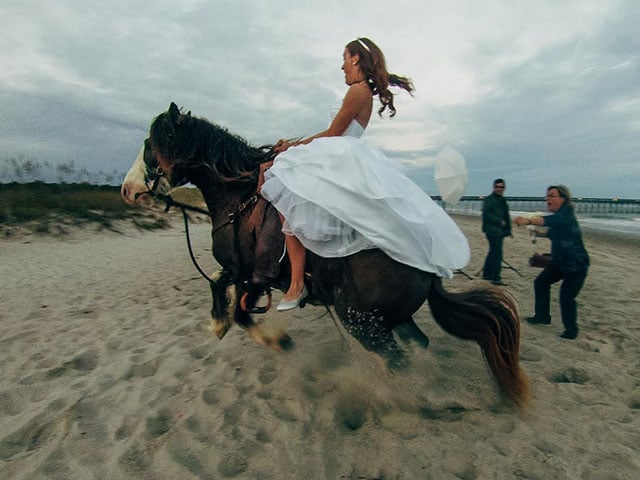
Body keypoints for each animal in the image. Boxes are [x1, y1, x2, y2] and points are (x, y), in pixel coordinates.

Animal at [121, 103, 528, 406]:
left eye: (150, 142)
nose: (127, 190)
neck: (239, 198)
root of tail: (426, 266)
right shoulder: (243, 273)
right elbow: (220, 289)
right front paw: (218, 323)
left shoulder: (250, 275)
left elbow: (238, 310)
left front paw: (275, 340)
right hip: (389, 319)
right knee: (416, 347)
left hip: (361, 321)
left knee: (398, 359)